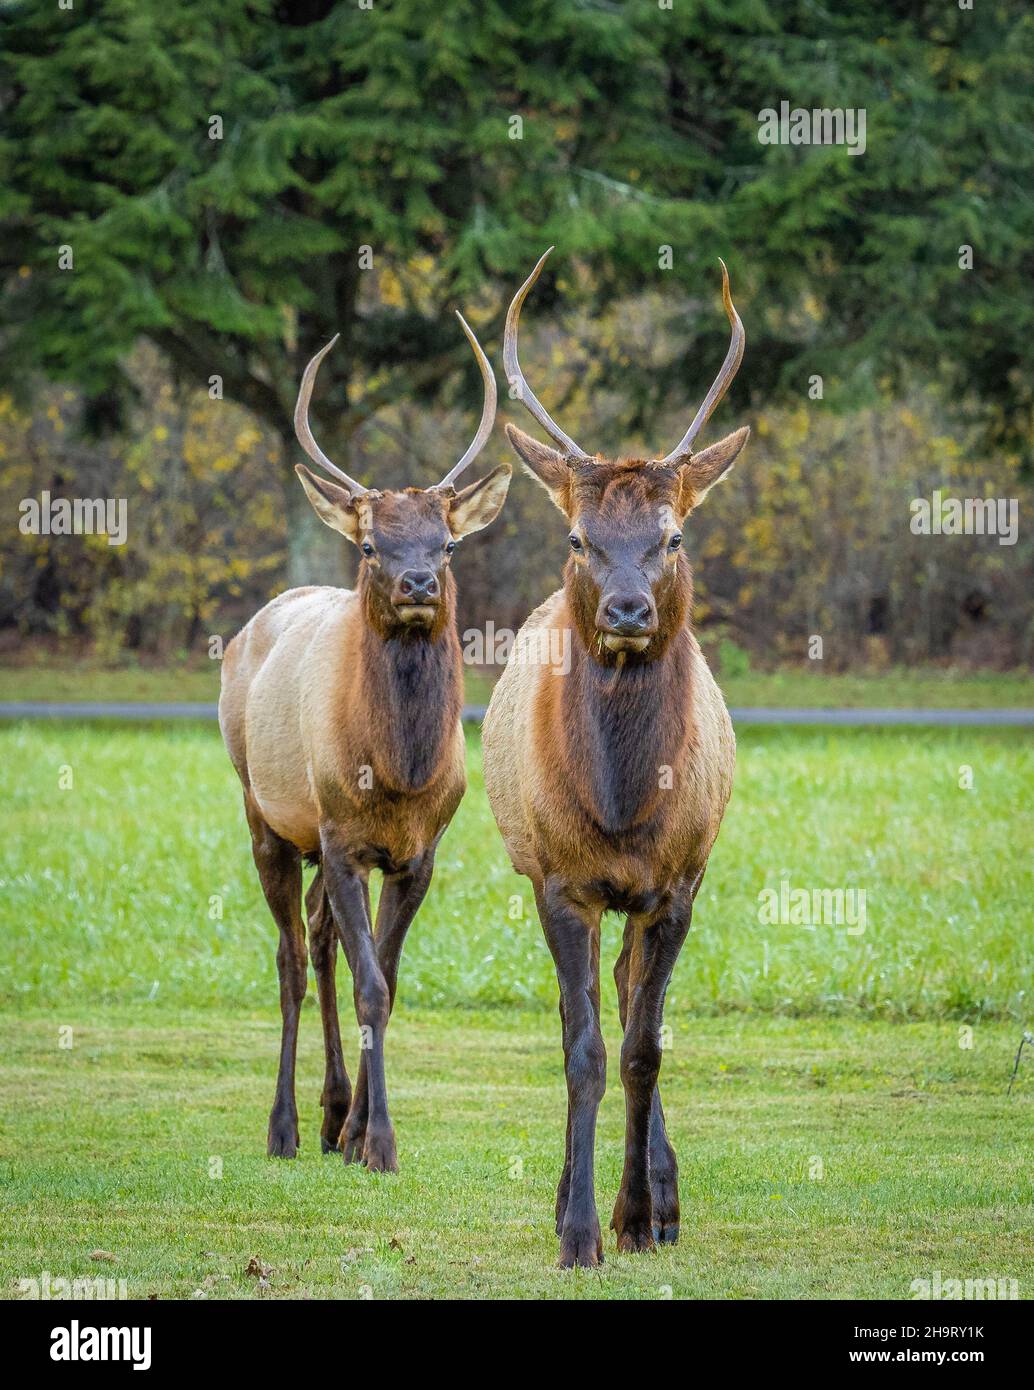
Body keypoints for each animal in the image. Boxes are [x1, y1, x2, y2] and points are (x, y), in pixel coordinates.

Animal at [219, 318, 511, 1173]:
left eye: (446, 544)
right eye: (374, 545)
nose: (417, 586)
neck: (399, 773)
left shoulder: (417, 852)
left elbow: (387, 973)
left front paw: (357, 1132)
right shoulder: (344, 839)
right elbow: (370, 983)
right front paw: (378, 1143)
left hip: (313, 840)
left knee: (320, 940)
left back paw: (329, 1115)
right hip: (267, 815)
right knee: (291, 958)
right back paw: (284, 1126)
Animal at [480, 244, 744, 1267]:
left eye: (672, 535)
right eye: (579, 535)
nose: (628, 610)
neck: (627, 803)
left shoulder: (676, 884)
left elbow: (643, 1047)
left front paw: (638, 1215)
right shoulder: (562, 881)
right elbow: (585, 1049)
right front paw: (580, 1228)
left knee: (637, 1002)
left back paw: (664, 1199)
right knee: (583, 1014)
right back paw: (573, 1193)